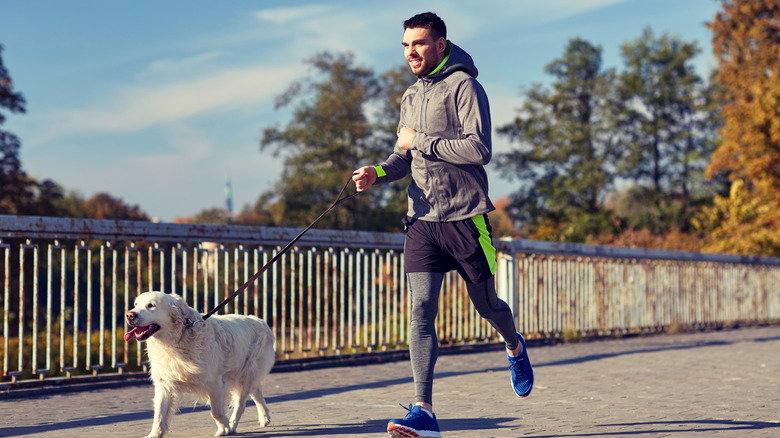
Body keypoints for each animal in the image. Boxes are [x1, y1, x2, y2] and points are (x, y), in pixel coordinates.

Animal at [126, 290, 276, 438]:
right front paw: (154, 434)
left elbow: (216, 412)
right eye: (135, 304)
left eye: (150, 305)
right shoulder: (164, 383)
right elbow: (159, 414)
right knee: (256, 391)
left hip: (247, 373)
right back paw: (264, 417)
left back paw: (233, 425)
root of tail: (261, 322)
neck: (176, 341)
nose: (129, 315)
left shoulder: (215, 383)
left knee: (241, 403)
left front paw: (224, 428)